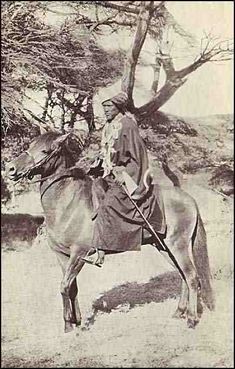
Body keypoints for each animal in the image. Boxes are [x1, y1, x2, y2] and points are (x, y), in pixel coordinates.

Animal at [5, 132, 215, 330]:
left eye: (45, 151)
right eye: (30, 145)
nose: (10, 168)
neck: (67, 203)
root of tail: (189, 198)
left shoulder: (79, 253)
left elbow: (64, 286)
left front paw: (72, 325)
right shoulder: (62, 255)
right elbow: (71, 288)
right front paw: (72, 324)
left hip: (177, 246)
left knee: (191, 276)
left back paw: (191, 319)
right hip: (163, 247)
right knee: (182, 276)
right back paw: (179, 312)